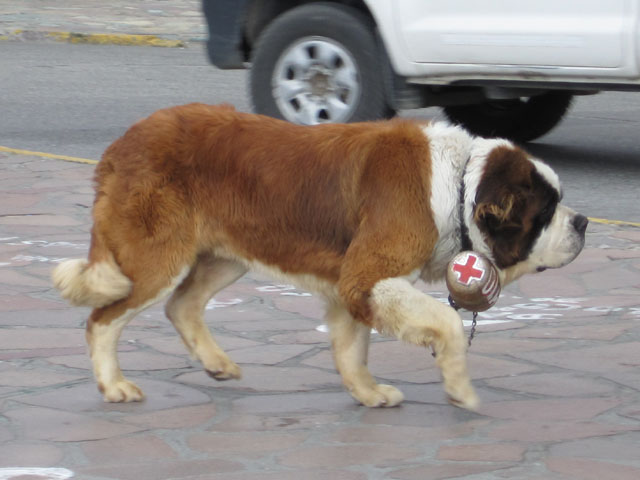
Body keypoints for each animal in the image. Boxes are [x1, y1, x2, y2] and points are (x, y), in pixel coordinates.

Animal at [52, 103, 588, 410]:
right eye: (546, 212)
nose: (582, 222)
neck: (459, 186)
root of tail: (124, 141)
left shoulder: (352, 284)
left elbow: (352, 347)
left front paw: (368, 393)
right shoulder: (369, 275)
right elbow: (447, 322)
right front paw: (460, 389)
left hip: (230, 253)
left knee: (182, 305)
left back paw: (217, 363)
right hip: (159, 257)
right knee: (103, 319)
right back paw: (114, 386)